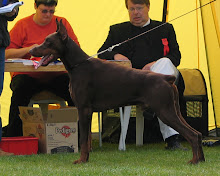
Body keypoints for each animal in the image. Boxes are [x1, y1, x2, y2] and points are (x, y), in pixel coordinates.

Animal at [29, 20, 205, 164]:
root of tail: (166, 78)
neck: (78, 65)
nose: (31, 50)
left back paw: (194, 161)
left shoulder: (84, 109)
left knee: (191, 134)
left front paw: (81, 160)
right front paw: (86, 159)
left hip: (164, 111)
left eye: (48, 41)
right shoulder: (87, 111)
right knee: (197, 133)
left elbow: (83, 140)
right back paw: (201, 160)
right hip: (174, 110)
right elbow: (87, 140)